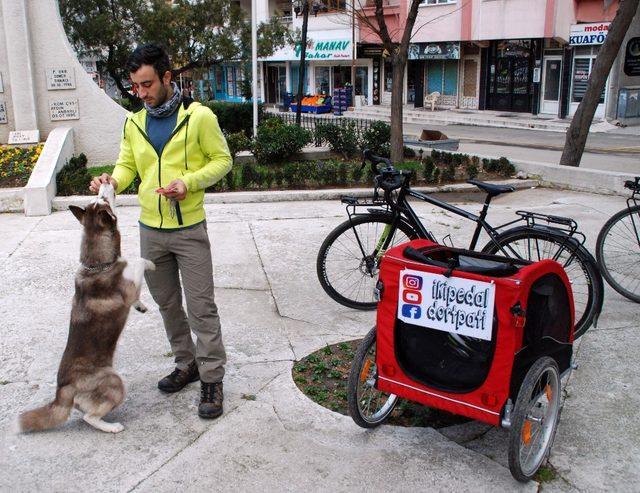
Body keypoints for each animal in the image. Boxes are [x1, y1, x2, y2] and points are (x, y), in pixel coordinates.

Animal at [19, 184, 155, 434]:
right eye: (104, 200)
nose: (105, 183)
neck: (98, 264)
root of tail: (62, 391)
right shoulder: (128, 286)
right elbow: (139, 260)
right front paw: (151, 264)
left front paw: (140, 306)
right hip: (114, 381)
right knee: (88, 418)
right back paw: (112, 427)